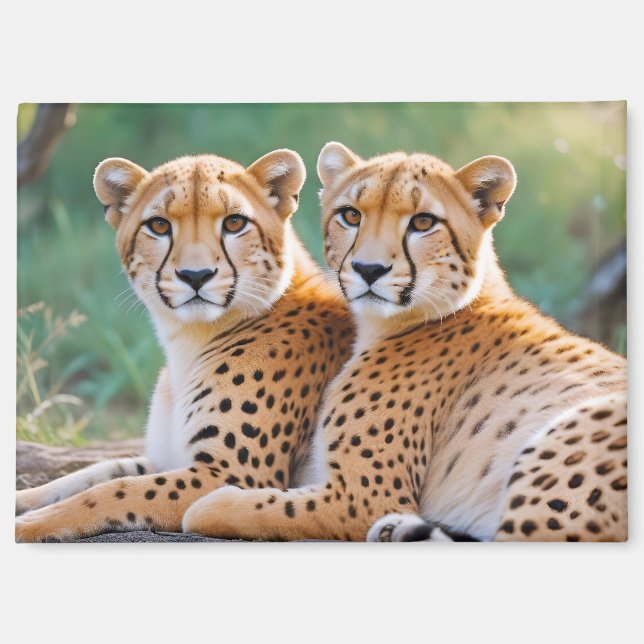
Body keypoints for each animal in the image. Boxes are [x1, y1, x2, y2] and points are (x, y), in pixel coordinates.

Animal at [15, 149, 353, 542]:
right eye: (159, 226)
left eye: (234, 223)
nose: (196, 276)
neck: (189, 342)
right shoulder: (168, 458)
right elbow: (94, 473)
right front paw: (24, 501)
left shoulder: (231, 476)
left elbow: (115, 491)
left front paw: (30, 524)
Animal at [179, 142, 627, 542]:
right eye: (351, 215)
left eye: (423, 223)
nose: (369, 269)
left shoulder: (361, 498)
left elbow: (246, 507)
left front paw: (206, 504)